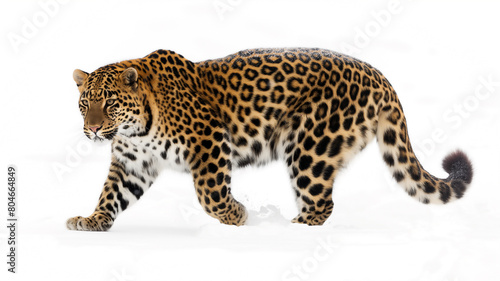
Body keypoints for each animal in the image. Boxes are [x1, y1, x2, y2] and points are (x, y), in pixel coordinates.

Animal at [66, 46, 472, 230]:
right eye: (85, 104)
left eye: (110, 103)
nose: (93, 128)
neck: (137, 130)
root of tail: (379, 76)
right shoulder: (132, 163)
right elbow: (111, 194)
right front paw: (92, 221)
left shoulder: (210, 140)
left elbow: (210, 193)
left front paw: (237, 216)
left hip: (310, 147)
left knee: (321, 203)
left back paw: (288, 231)